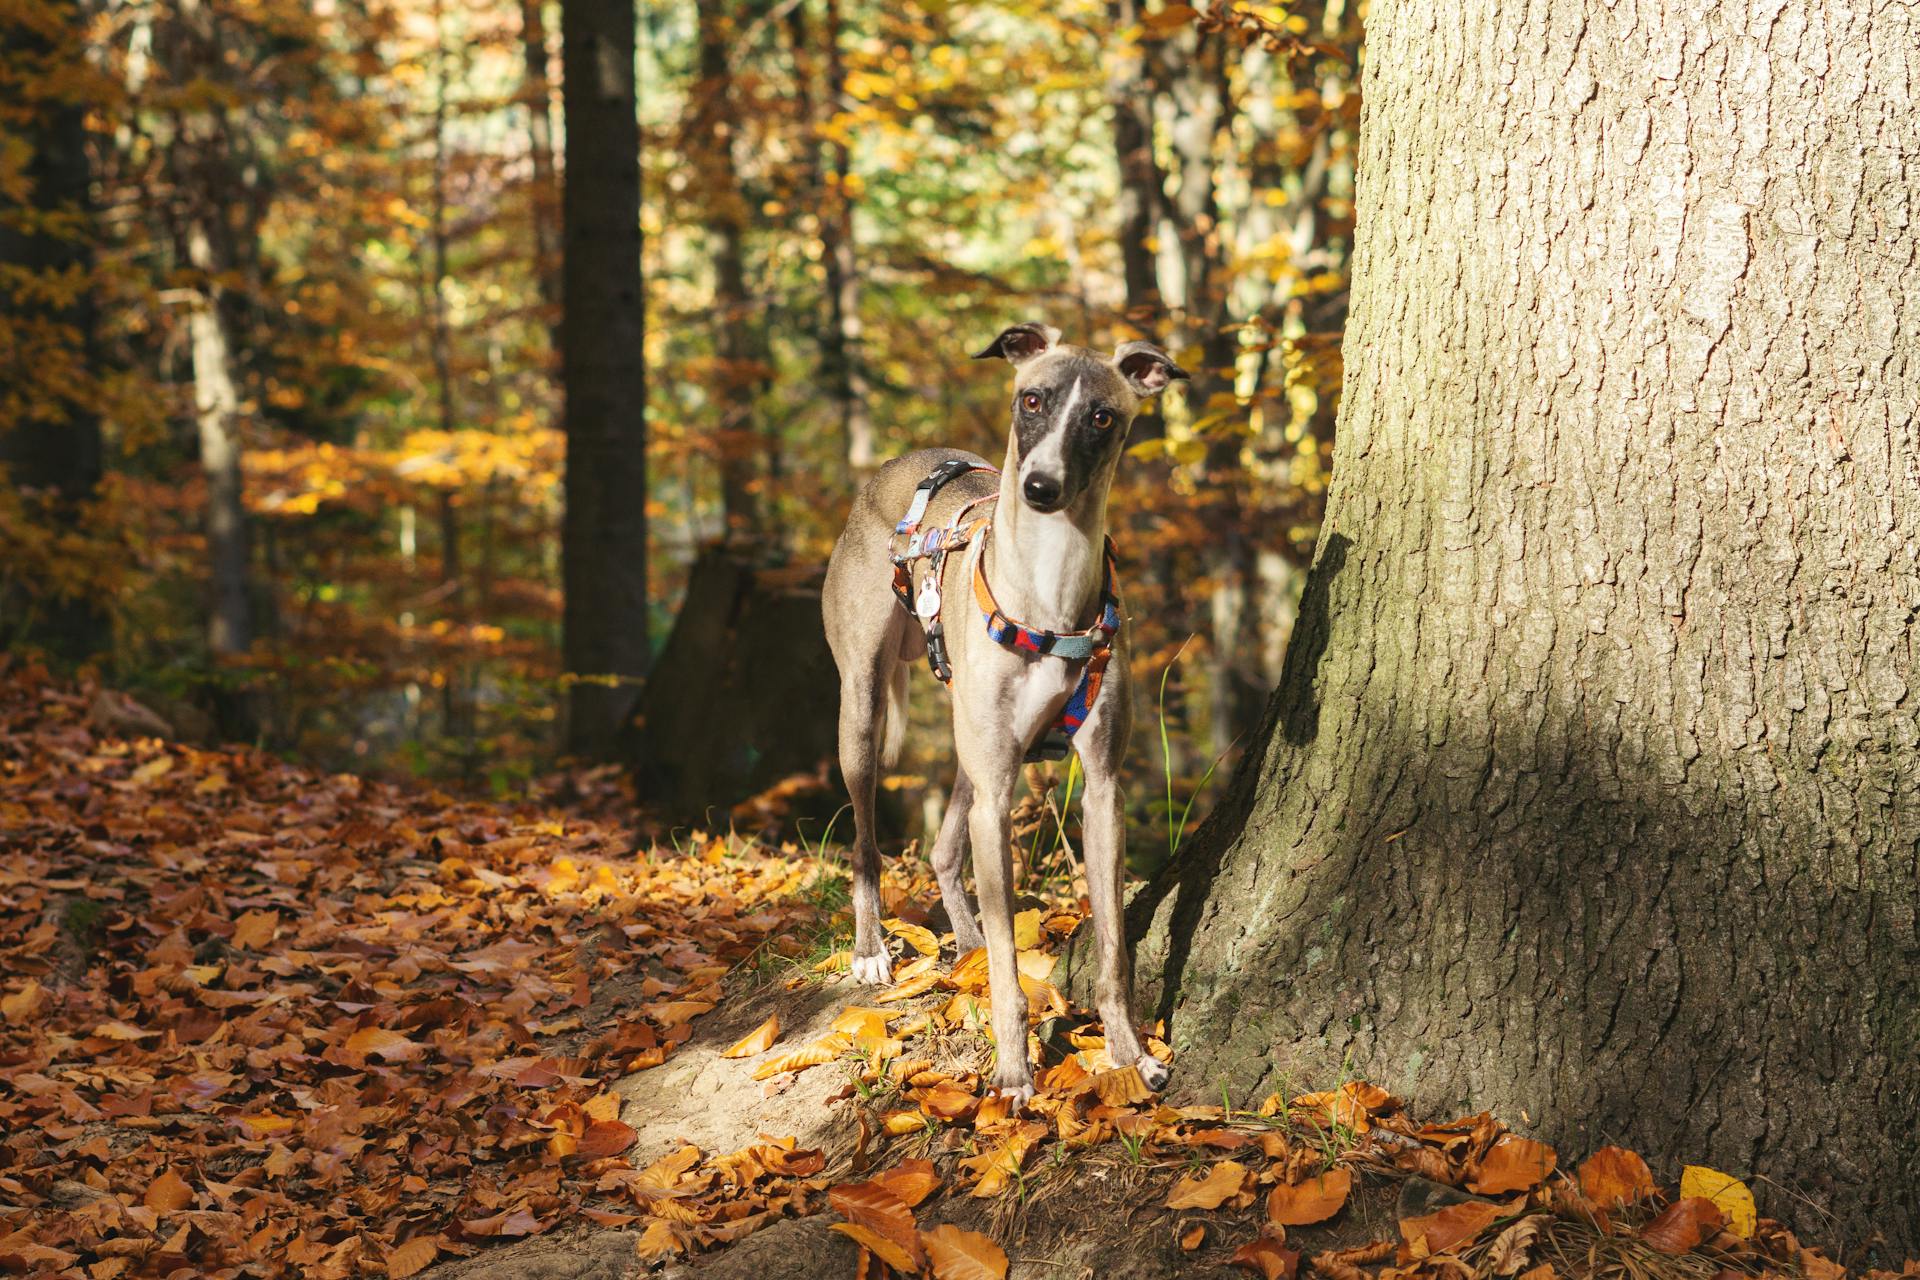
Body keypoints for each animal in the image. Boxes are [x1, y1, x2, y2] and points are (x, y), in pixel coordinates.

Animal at [821, 320, 1182, 1105]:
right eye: (1033, 399)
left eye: (1102, 417)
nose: (1039, 486)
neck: (1049, 593)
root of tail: (900, 466)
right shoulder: (997, 794)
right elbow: (1013, 973)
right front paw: (1015, 1071)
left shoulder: (1102, 790)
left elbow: (1113, 950)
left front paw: (1128, 1053)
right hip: (863, 712)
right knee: (863, 841)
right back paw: (872, 949)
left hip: (973, 756)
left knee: (943, 850)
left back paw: (965, 942)